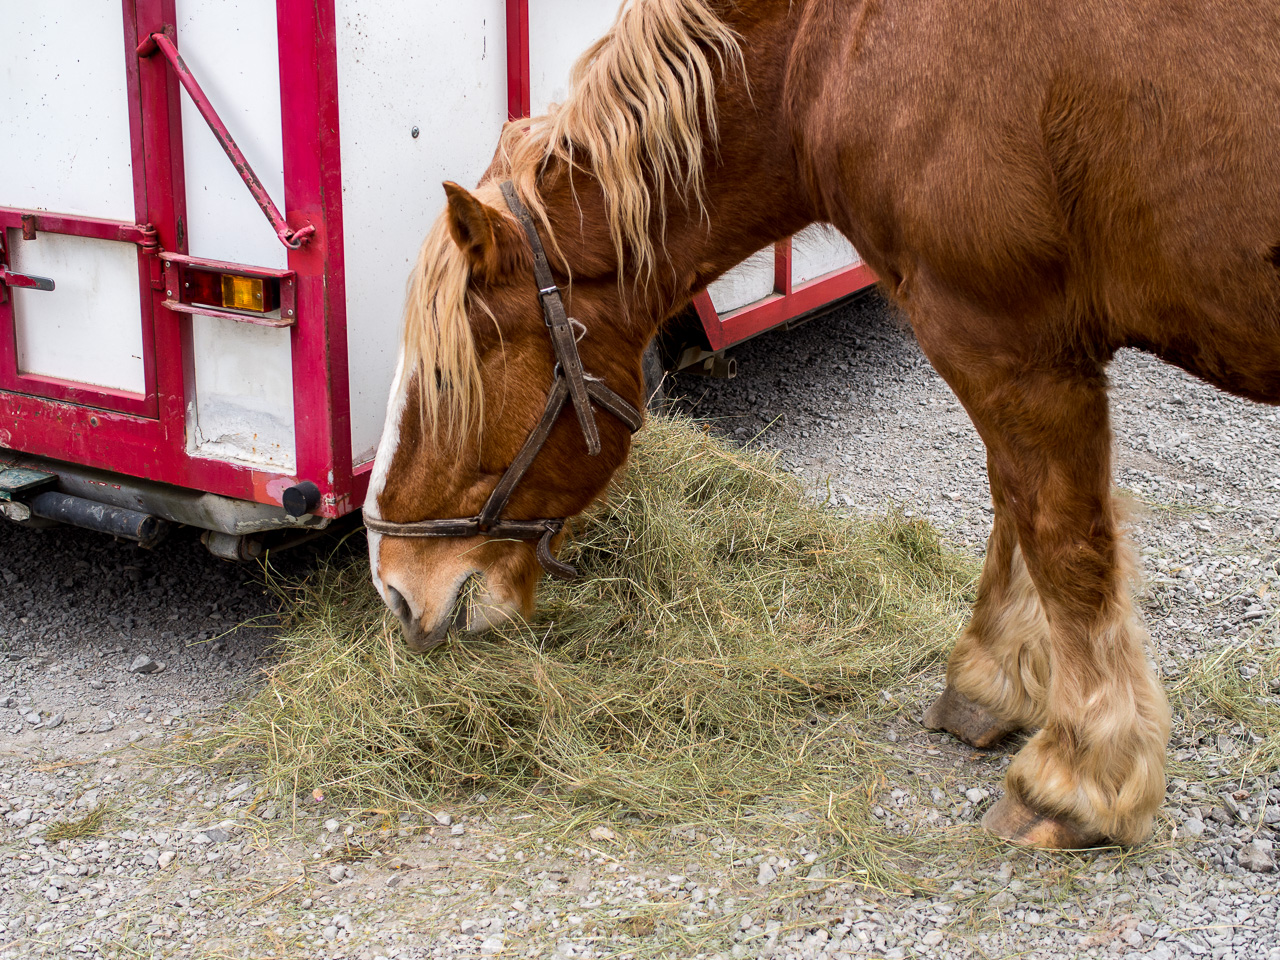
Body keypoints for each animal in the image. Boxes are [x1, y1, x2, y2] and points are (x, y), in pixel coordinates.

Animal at [363, 0, 1280, 849]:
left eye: (450, 374)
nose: (396, 590)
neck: (832, 56)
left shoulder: (1011, 344)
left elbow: (1062, 541)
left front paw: (1080, 779)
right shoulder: (1005, 349)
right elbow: (1012, 507)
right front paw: (993, 681)